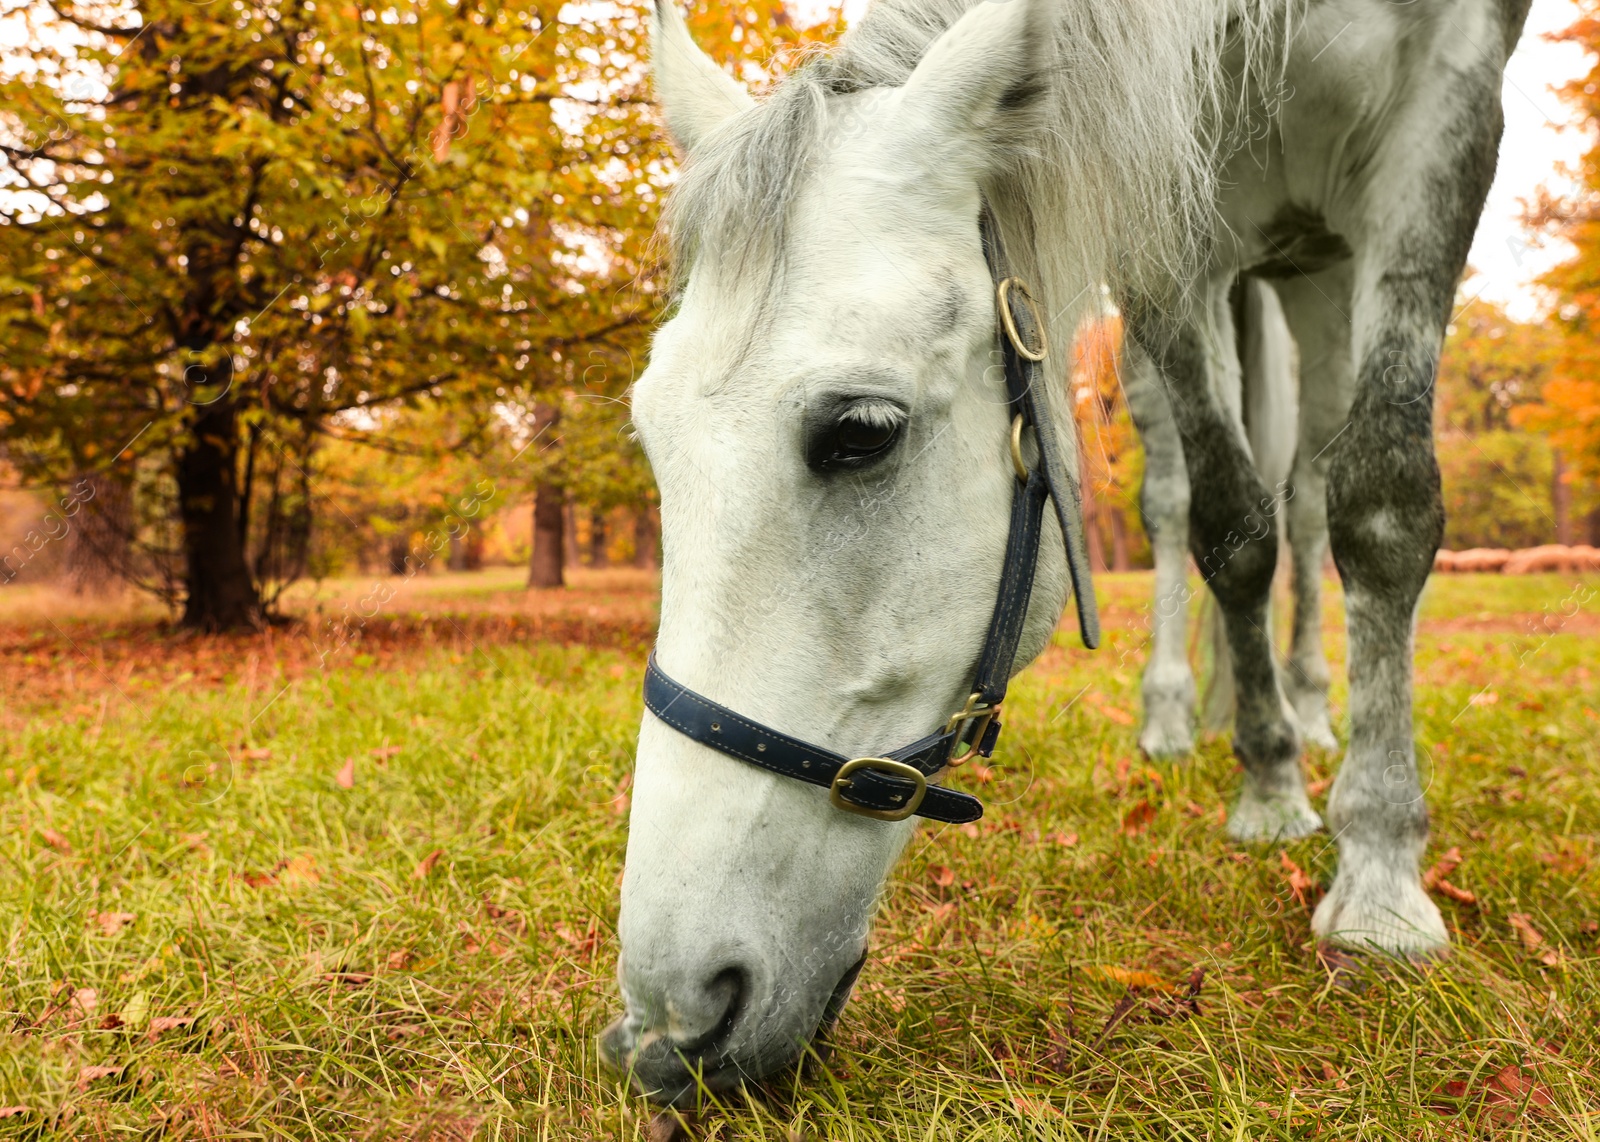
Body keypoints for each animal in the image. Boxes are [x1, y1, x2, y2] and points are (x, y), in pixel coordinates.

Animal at [608, 0, 1523, 1100]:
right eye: (651, 434)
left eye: (861, 432)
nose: (668, 1019)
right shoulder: (1164, 211)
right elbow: (1227, 525)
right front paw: (1268, 785)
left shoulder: (1445, 109)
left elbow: (1379, 507)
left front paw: (1381, 876)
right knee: (1188, 500)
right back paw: (1192, 717)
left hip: (1329, 274)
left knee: (1311, 493)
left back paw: (1307, 706)